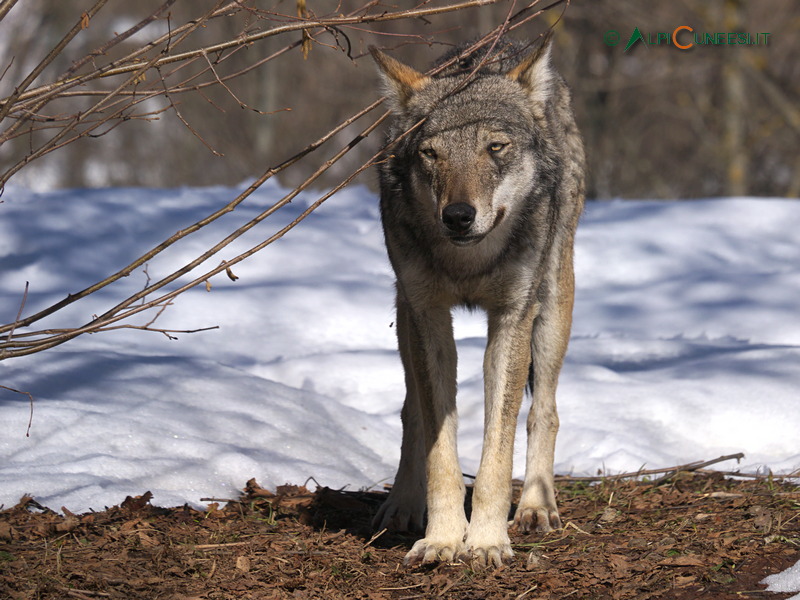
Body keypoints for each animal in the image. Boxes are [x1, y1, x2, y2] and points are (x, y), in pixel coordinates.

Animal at [372, 32, 584, 568]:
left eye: (495, 147)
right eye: (431, 153)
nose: (458, 216)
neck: (468, 262)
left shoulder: (512, 319)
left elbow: (496, 454)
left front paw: (487, 540)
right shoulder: (427, 316)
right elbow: (439, 450)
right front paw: (444, 538)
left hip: (552, 308)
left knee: (545, 411)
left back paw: (535, 506)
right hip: (402, 315)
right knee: (410, 413)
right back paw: (403, 504)